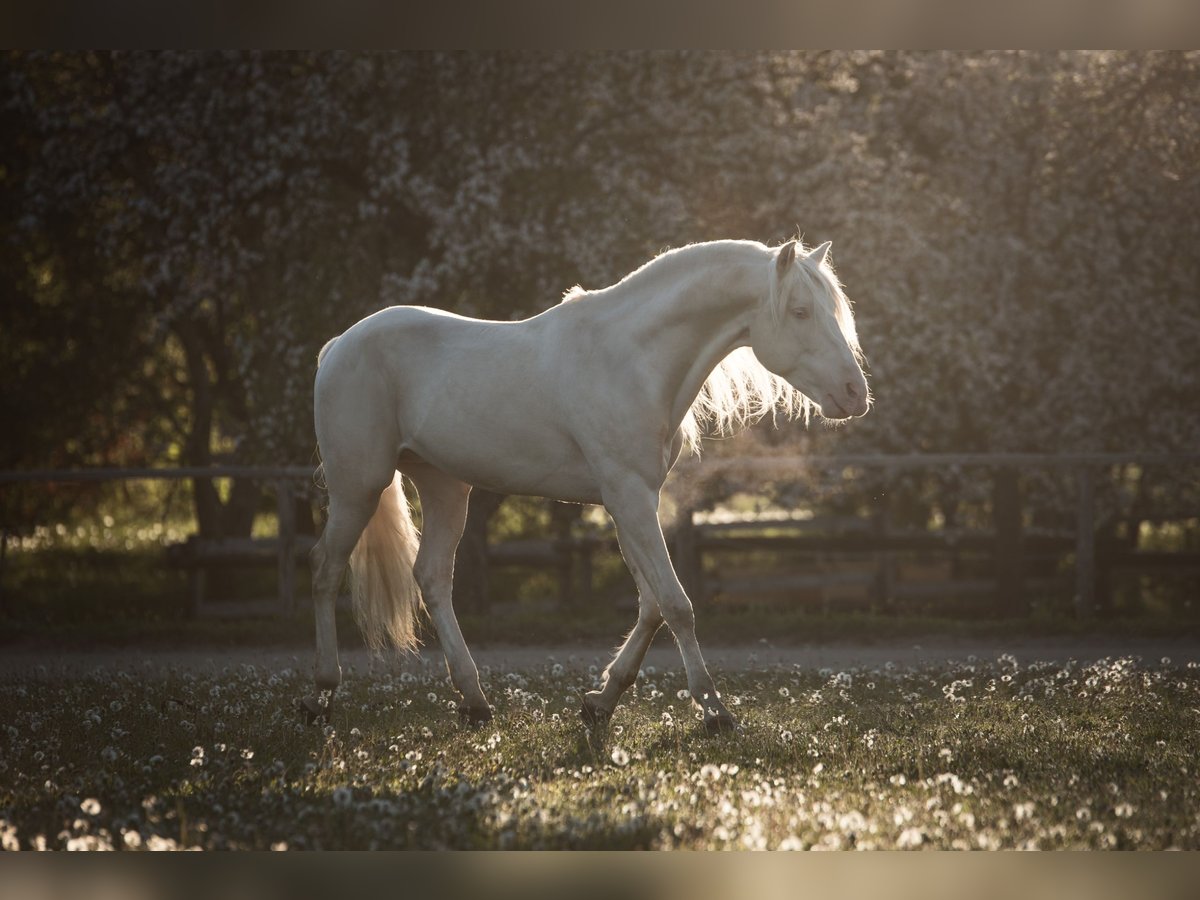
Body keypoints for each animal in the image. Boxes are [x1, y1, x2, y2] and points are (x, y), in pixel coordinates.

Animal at [307, 237, 873, 734]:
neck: (630, 359)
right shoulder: (630, 497)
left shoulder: (629, 502)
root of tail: (338, 345)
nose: (855, 393)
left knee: (432, 578)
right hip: (358, 487)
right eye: (800, 312)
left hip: (445, 487)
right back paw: (322, 695)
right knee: (327, 572)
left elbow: (650, 607)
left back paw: (475, 702)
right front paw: (715, 712)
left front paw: (601, 700)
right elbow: (677, 605)